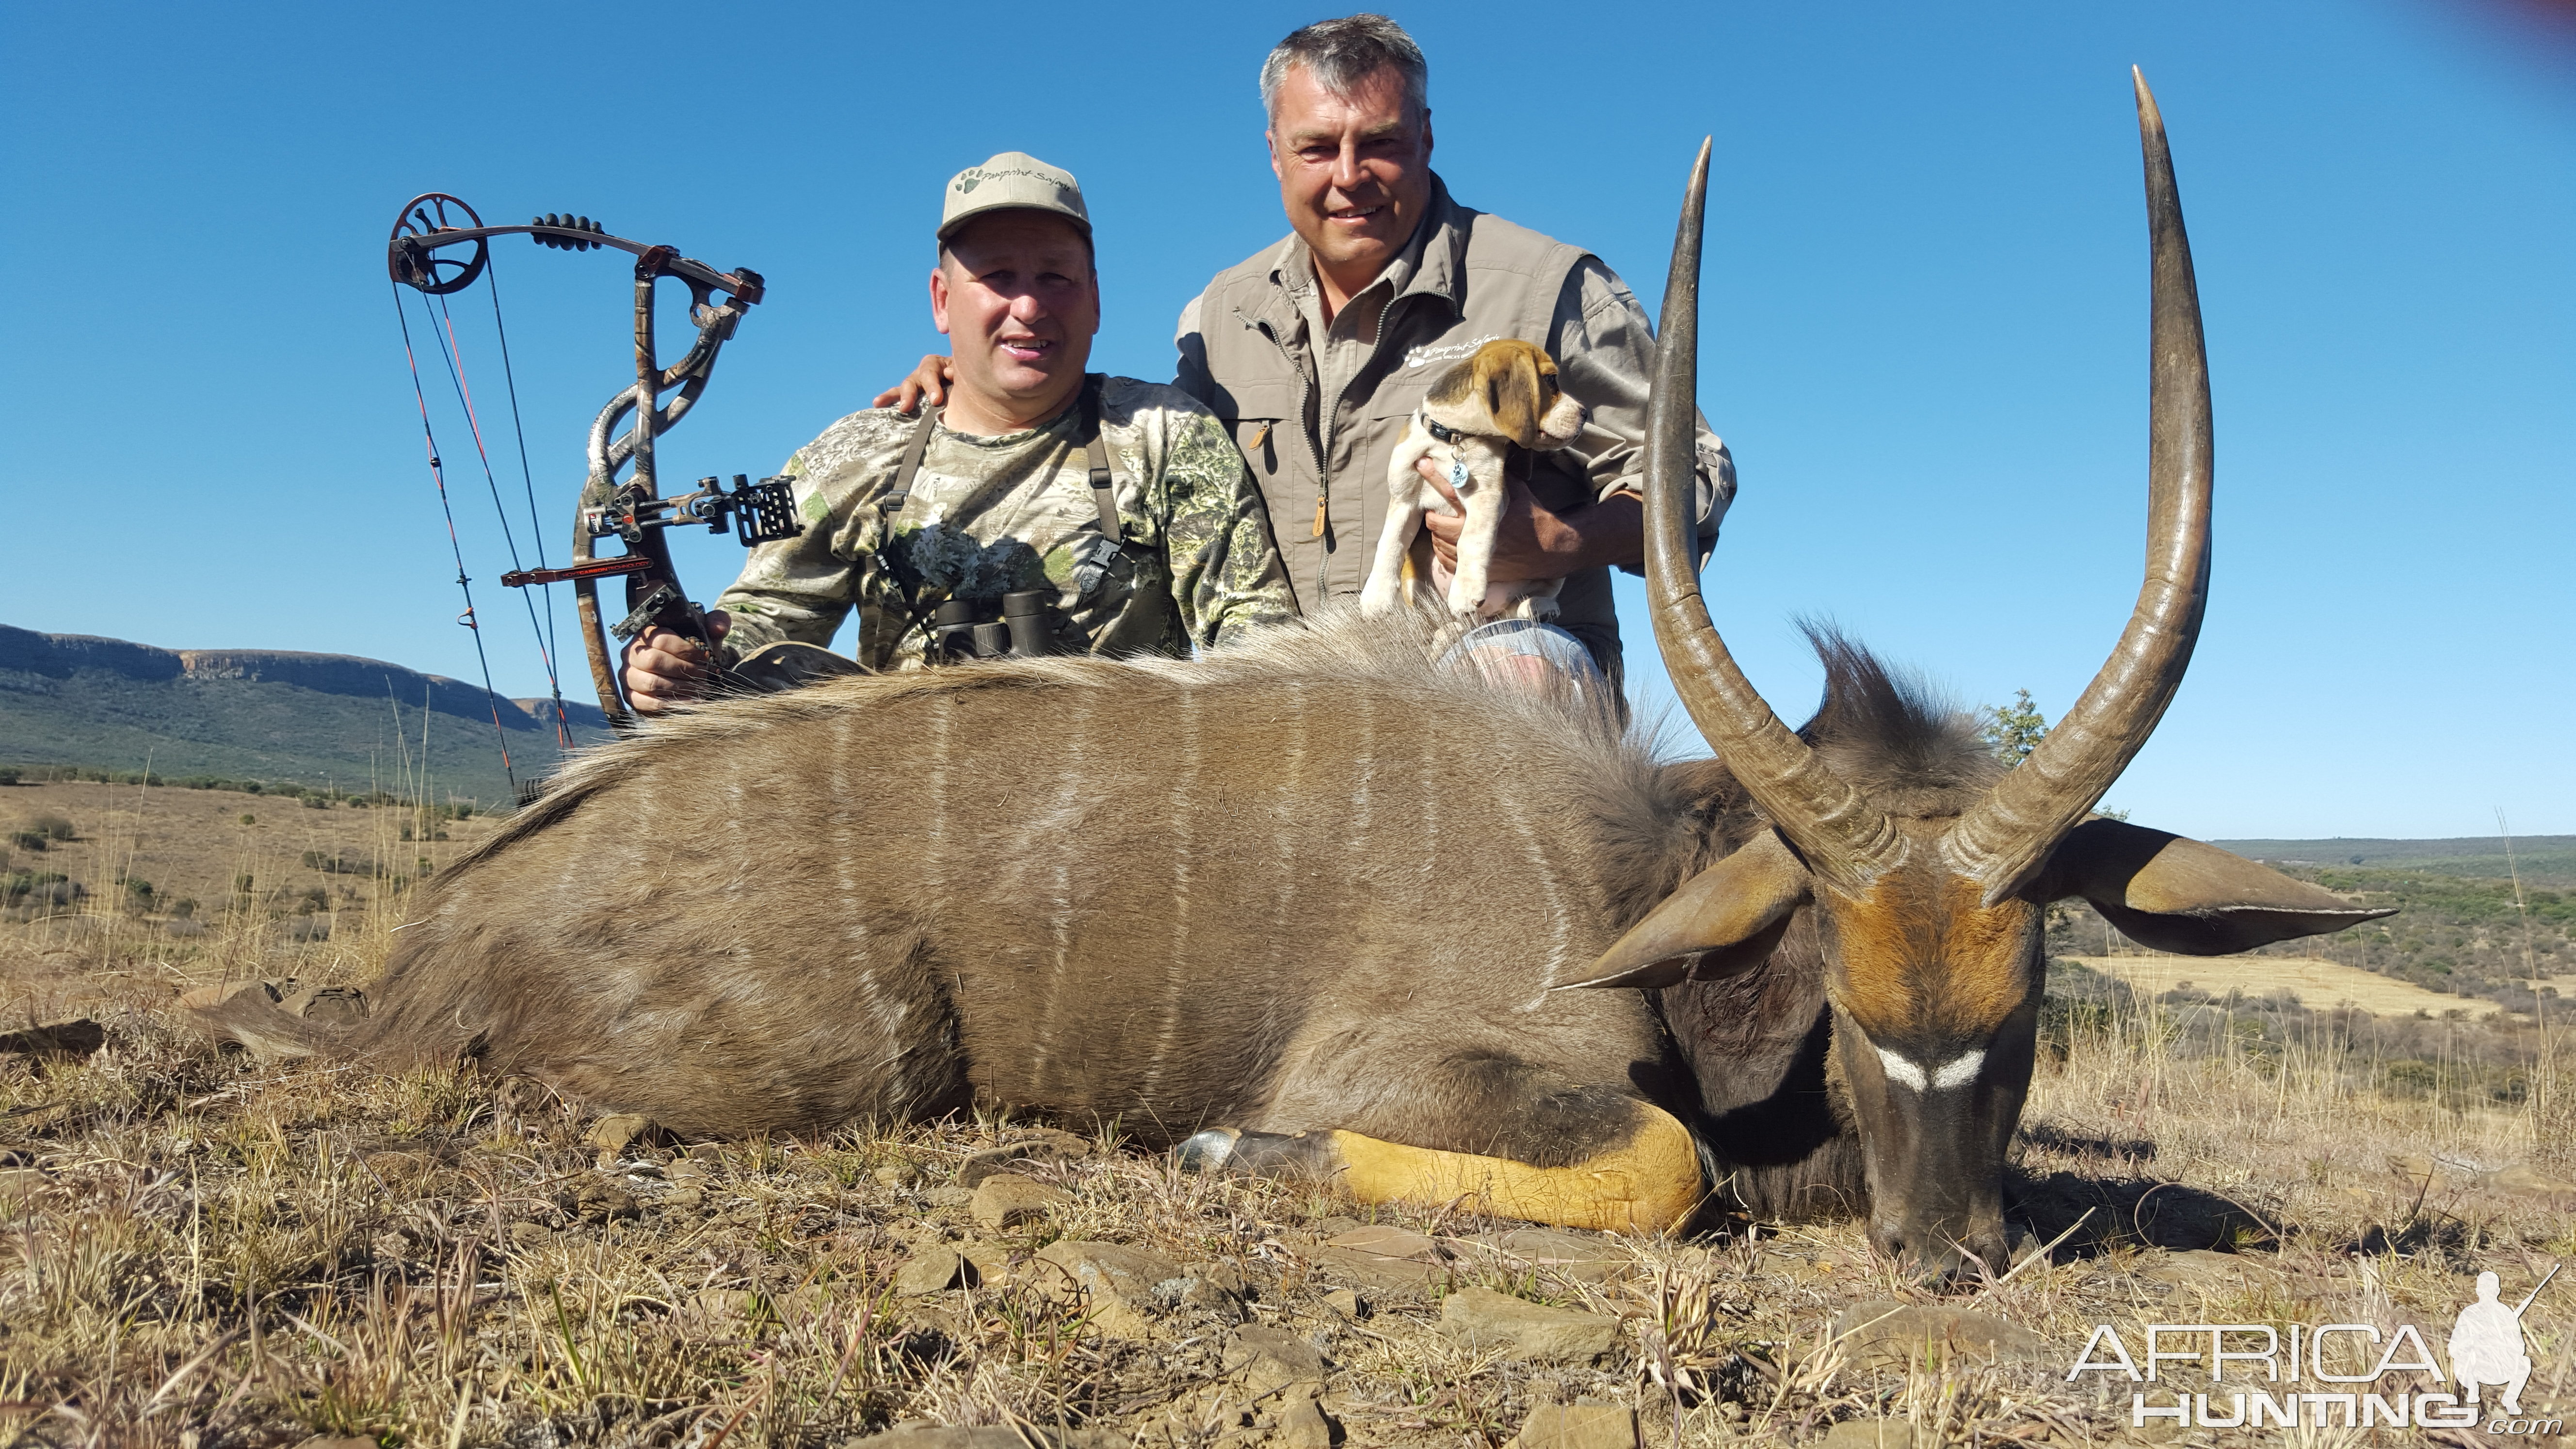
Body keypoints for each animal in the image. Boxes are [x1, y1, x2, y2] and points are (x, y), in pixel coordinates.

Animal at [1360, 340, 1576, 626]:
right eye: (1551, 380)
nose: (1585, 413)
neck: (1455, 437)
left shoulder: (1487, 494)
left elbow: (1471, 540)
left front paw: (1465, 592)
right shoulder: (1403, 499)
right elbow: (1390, 543)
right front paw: (1376, 597)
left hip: (1559, 557)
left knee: (1514, 609)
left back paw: (1537, 607)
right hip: (1414, 582)